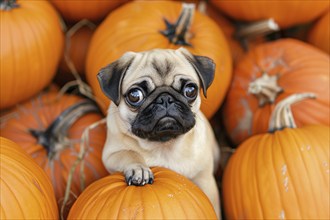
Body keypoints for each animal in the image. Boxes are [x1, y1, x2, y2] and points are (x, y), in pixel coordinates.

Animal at [98, 46, 222, 218]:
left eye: (190, 90)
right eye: (135, 95)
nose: (165, 99)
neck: (164, 145)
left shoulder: (205, 180)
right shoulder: (110, 155)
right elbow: (129, 153)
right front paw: (139, 169)